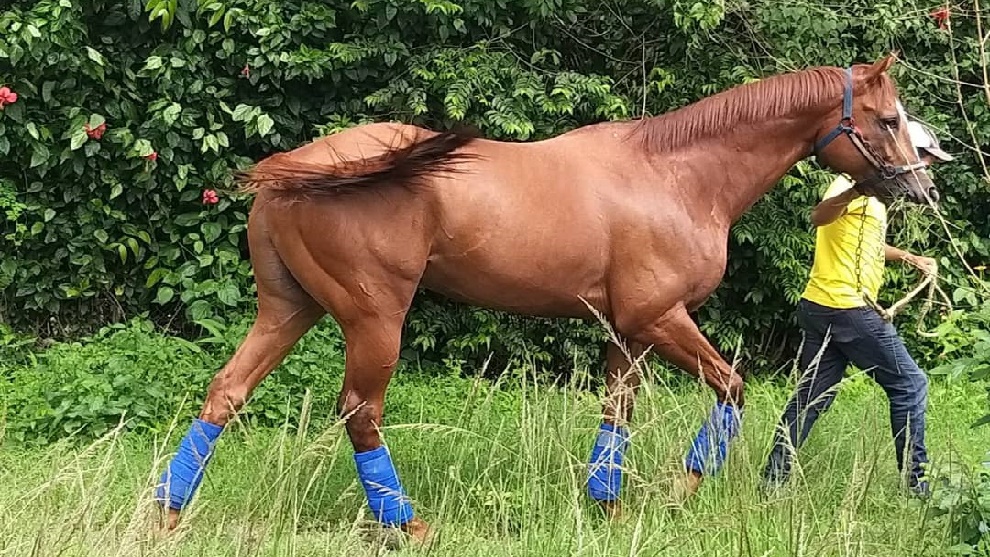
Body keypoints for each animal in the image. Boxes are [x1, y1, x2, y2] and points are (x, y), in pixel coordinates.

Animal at [155, 57, 936, 544]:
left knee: (226, 392)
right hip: (375, 318)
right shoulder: (660, 318)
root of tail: (292, 168)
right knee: (361, 411)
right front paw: (681, 488)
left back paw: (167, 512)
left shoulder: (627, 331)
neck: (676, 174)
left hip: (288, 310)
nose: (923, 187)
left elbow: (616, 415)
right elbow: (733, 388)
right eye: (889, 119)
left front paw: (610, 504)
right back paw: (407, 524)